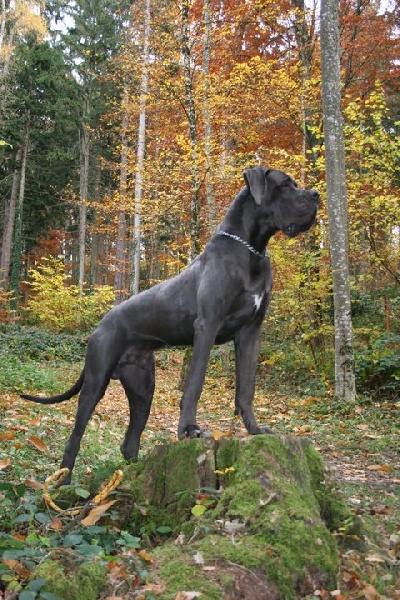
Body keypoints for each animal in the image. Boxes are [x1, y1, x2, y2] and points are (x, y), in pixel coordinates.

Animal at [22, 165, 318, 482]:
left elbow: (246, 388)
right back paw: (63, 481)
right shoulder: (207, 325)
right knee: (76, 435)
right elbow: (194, 384)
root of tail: (102, 322)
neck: (251, 249)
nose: (315, 195)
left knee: (129, 441)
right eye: (284, 185)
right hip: (96, 380)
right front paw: (188, 430)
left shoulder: (251, 332)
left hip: (142, 387)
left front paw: (255, 429)